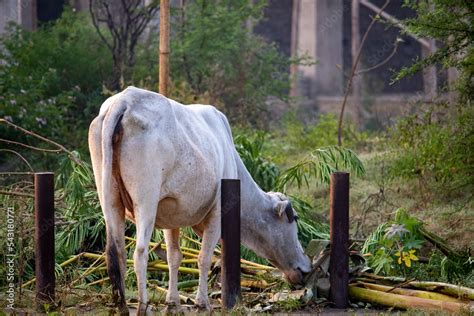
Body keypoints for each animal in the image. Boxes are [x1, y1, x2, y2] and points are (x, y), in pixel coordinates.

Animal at [88, 87, 312, 314]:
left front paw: (173, 302)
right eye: (294, 220)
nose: (306, 268)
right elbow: (204, 258)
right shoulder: (217, 214)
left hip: (110, 201)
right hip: (146, 201)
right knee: (140, 252)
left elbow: (174, 257)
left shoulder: (171, 217)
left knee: (116, 253)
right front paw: (202, 302)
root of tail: (124, 101)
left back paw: (121, 307)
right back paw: (144, 308)